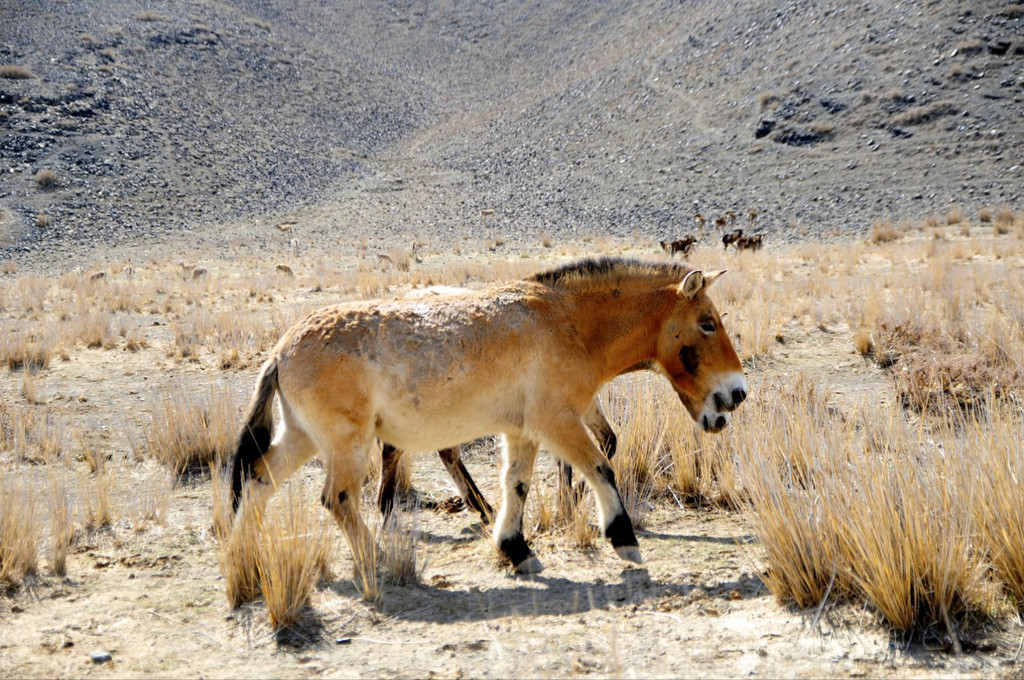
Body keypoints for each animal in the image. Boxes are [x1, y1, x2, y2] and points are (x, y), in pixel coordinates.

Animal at [230, 258, 745, 577]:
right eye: (707, 323)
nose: (737, 393)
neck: (569, 321)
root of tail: (280, 350)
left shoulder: (524, 432)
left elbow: (516, 485)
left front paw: (516, 550)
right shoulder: (557, 422)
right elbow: (600, 468)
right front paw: (624, 540)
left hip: (301, 438)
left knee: (258, 479)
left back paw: (245, 555)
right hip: (344, 445)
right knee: (335, 499)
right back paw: (375, 558)